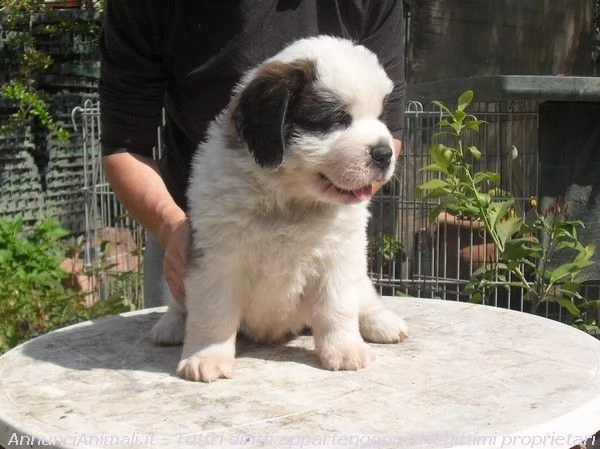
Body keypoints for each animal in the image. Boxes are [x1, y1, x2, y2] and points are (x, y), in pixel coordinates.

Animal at [152, 36, 410, 382]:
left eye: (380, 115)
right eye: (337, 118)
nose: (384, 153)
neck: (289, 201)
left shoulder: (339, 257)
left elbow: (338, 307)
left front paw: (345, 349)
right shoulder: (215, 258)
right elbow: (212, 312)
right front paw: (206, 356)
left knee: (365, 296)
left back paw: (381, 322)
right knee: (179, 302)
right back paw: (171, 324)